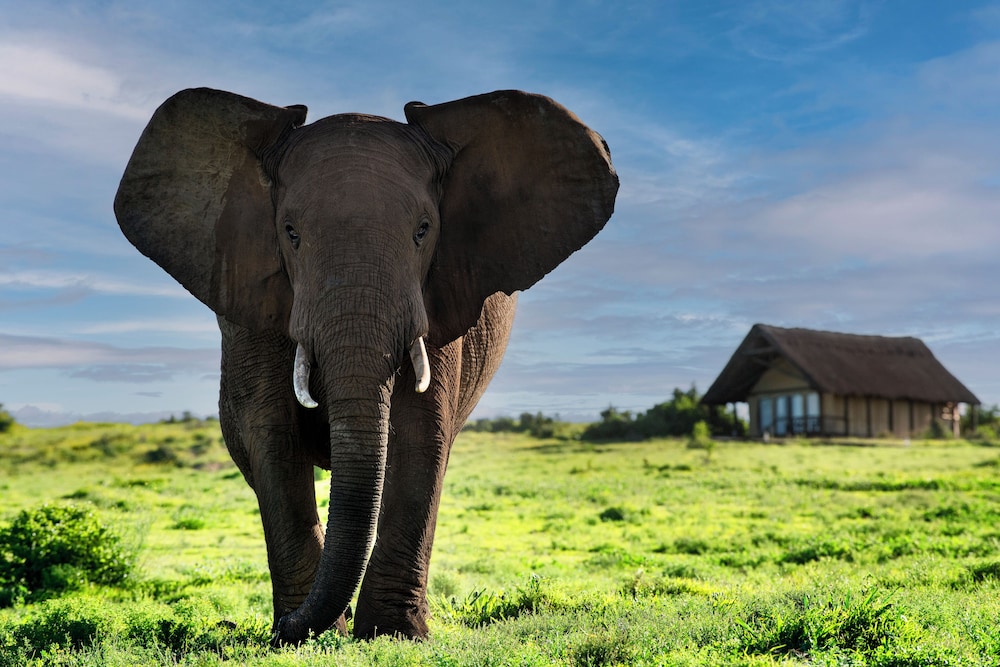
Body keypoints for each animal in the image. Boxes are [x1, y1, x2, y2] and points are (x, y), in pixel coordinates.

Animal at [114, 87, 617, 643]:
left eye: (423, 231)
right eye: (290, 232)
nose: (280, 626)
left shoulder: (439, 296)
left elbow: (421, 434)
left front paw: (392, 635)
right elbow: (271, 434)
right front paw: (307, 637)